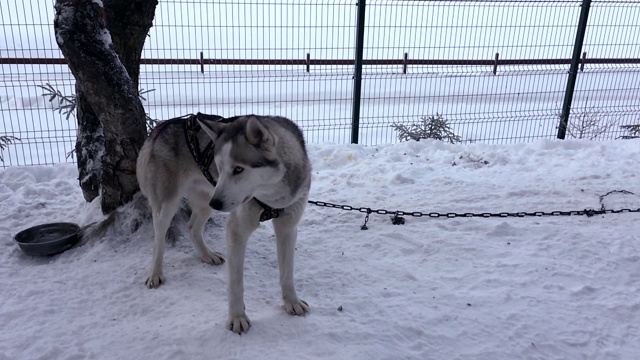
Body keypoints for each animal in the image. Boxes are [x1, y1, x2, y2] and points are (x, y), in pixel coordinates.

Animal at [136, 114, 312, 334]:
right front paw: (237, 318)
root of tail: (162, 126)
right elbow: (236, 283)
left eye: (238, 169)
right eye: (219, 168)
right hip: (171, 204)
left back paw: (207, 255)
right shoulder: (237, 230)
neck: (271, 198)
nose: (217, 203)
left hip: (205, 201)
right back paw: (155, 273)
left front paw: (291, 302)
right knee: (158, 239)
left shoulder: (287, 228)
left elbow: (287, 273)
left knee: (193, 227)